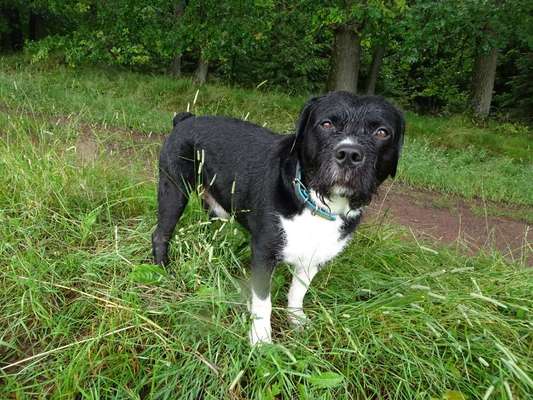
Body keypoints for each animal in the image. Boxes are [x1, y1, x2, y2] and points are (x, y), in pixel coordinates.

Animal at [153, 91, 404, 344]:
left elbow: (298, 291)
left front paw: (297, 320)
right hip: (174, 190)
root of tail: (185, 119)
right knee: (161, 233)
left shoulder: (315, 255)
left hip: (217, 207)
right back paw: (163, 269)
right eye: (326, 124)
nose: (350, 153)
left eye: (382, 132)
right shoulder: (264, 253)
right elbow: (263, 302)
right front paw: (261, 340)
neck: (316, 202)